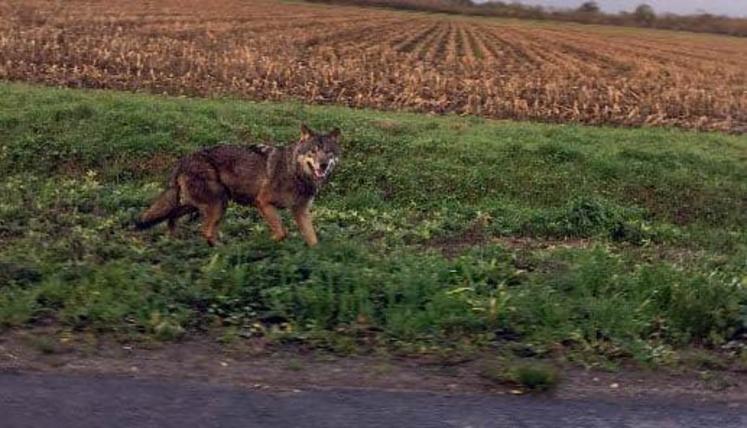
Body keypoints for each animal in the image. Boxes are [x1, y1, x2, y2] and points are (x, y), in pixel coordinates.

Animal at [137, 123, 342, 246]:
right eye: (313, 151)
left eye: (328, 152)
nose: (323, 165)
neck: (296, 172)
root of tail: (184, 159)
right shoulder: (263, 203)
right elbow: (282, 232)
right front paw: (264, 243)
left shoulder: (301, 211)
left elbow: (313, 239)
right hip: (218, 203)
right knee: (205, 231)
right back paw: (224, 250)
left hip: (198, 205)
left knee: (173, 218)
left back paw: (175, 241)